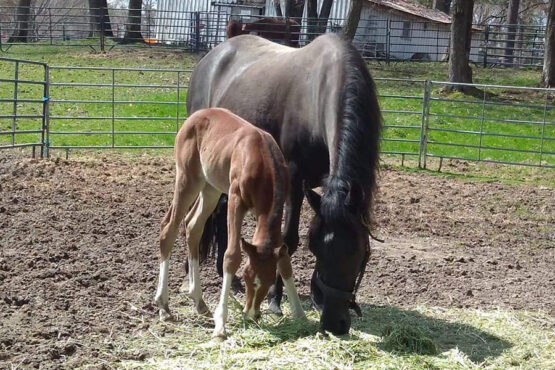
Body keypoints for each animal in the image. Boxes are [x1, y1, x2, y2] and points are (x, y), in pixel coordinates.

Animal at [154, 107, 306, 338]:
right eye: (246, 277)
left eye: (270, 280)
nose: (252, 314)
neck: (262, 159)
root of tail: (193, 117)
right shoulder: (235, 200)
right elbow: (231, 256)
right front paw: (221, 325)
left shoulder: (266, 213)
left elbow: (285, 259)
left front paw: (301, 315)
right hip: (188, 179)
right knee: (168, 228)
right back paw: (164, 306)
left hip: (210, 187)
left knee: (193, 226)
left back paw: (199, 302)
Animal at [187, 33, 382, 336]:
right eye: (316, 249)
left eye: (359, 253)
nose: (334, 323)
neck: (320, 93)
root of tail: (213, 55)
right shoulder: (293, 178)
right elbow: (287, 240)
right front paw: (276, 301)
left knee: (218, 215)